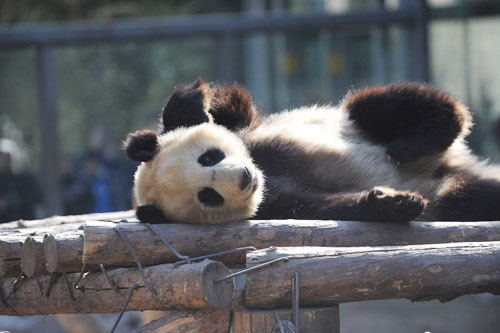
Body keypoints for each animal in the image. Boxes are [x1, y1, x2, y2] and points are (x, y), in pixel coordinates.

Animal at [123, 78, 500, 223]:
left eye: (209, 157)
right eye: (208, 196)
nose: (244, 177)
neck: (265, 168)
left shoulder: (253, 129)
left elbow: (223, 106)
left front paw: (191, 108)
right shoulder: (271, 205)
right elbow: (315, 206)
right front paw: (392, 202)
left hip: (352, 122)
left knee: (379, 105)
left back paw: (410, 143)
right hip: (453, 192)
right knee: (467, 199)